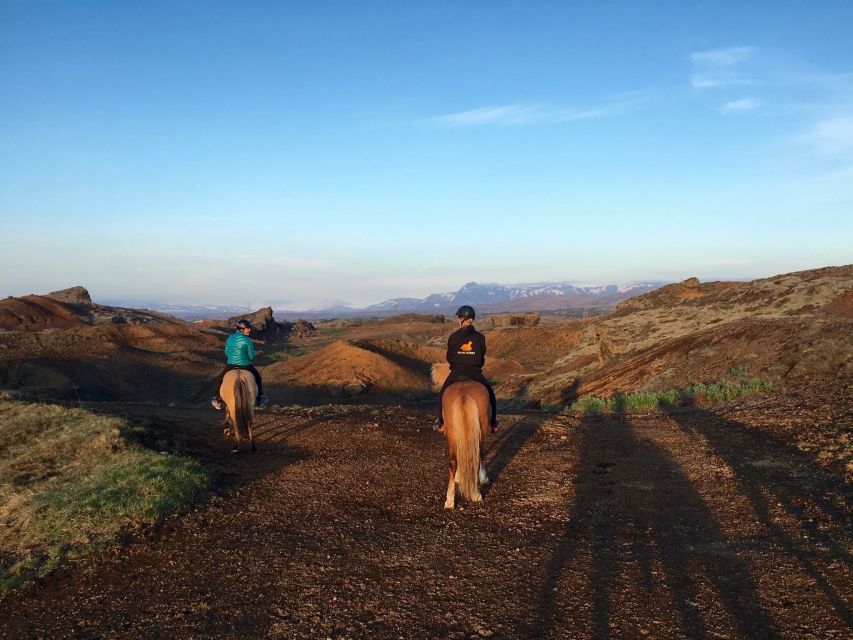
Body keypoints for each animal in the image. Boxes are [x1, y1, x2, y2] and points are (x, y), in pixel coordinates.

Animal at [436, 364, 490, 510]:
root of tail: (464, 394)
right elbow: (481, 454)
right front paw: (484, 478)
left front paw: (459, 477)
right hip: (480, 431)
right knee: (475, 456)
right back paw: (476, 494)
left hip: (452, 434)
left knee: (453, 462)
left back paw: (449, 501)